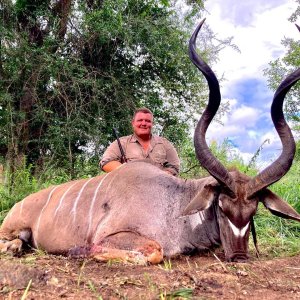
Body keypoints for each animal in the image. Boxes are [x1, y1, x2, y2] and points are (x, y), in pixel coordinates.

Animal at [0, 19, 300, 262]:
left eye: (253, 211)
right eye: (222, 207)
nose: (238, 256)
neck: (175, 204)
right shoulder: (116, 235)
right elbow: (153, 252)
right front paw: (78, 251)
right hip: (12, 228)